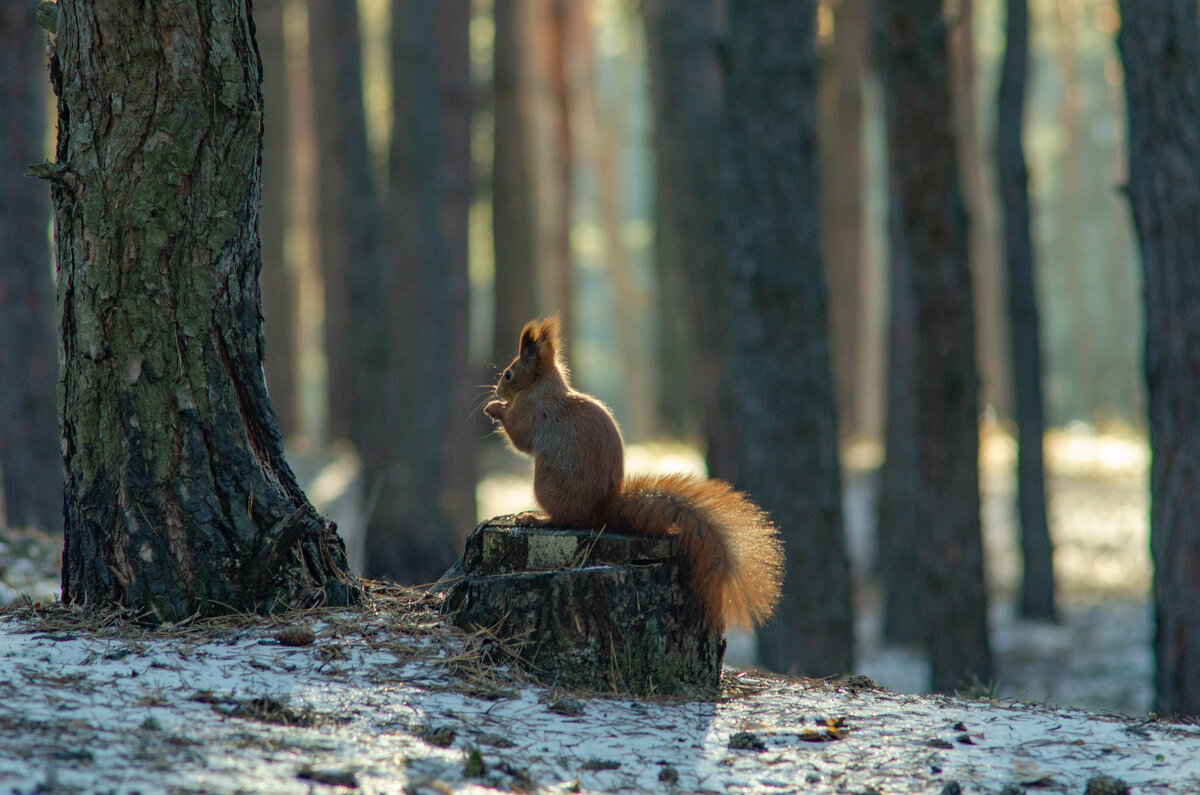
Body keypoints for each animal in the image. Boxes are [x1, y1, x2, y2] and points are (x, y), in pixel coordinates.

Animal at [482, 317, 782, 634]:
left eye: (508, 374)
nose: (498, 392)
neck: (542, 384)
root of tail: (599, 510)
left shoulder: (532, 410)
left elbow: (519, 436)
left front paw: (495, 408)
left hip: (546, 485)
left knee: (566, 520)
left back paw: (535, 518)